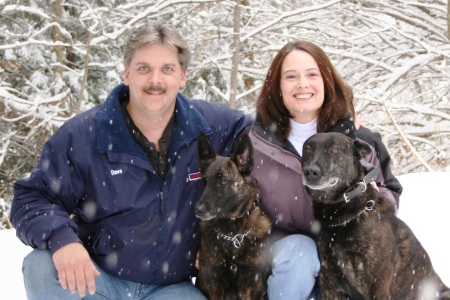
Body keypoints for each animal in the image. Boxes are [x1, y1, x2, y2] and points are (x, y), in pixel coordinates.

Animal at [193, 132, 270, 300]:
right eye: (204, 182)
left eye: (223, 180)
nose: (197, 210)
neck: (233, 234)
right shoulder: (215, 283)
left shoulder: (254, 284)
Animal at [302, 132, 450, 300]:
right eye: (307, 149)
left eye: (335, 150)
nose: (310, 171)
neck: (341, 215)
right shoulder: (329, 283)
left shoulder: (377, 287)